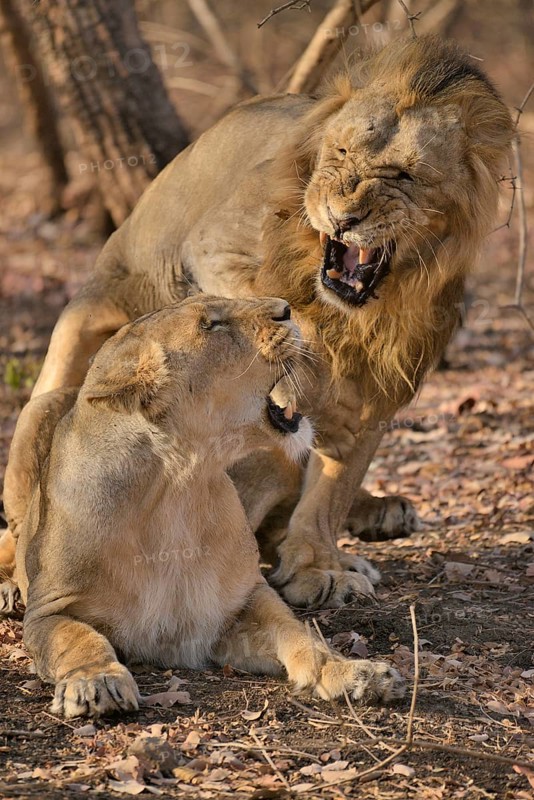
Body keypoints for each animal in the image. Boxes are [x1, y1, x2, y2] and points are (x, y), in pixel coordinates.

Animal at [1, 35, 513, 610]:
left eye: (405, 175)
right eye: (341, 154)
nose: (344, 218)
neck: (362, 312)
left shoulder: (384, 385)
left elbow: (333, 487)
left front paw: (318, 564)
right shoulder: (213, 248)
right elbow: (273, 319)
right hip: (58, 380)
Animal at [2, 296, 404, 718]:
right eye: (210, 325)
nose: (286, 308)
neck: (179, 487)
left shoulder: (241, 600)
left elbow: (299, 634)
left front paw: (354, 673)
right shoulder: (49, 610)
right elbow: (78, 638)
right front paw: (97, 680)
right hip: (34, 412)